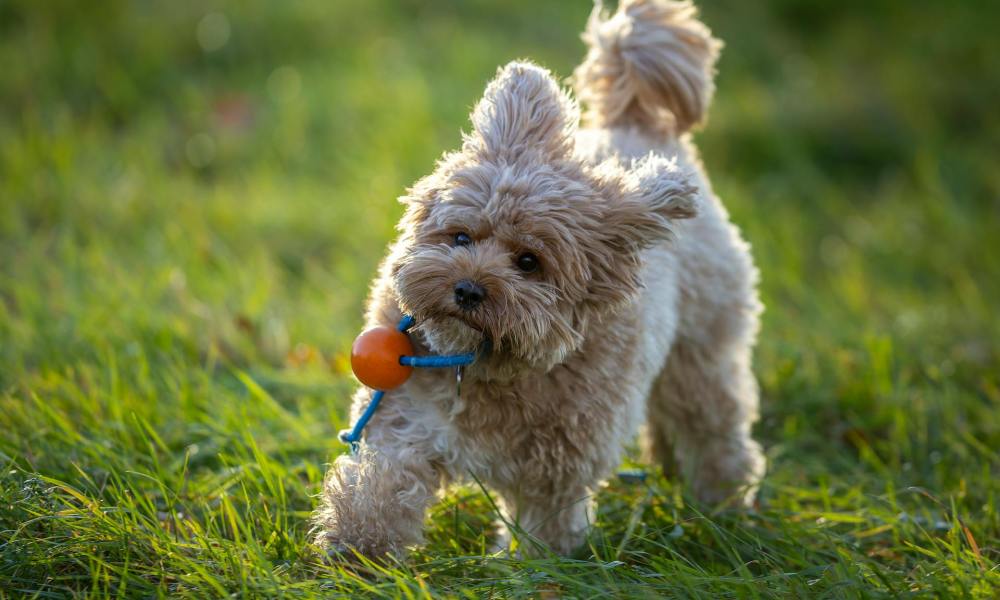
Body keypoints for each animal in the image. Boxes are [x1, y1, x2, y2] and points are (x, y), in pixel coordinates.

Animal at [314, 0, 764, 556]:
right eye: (461, 237)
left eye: (529, 262)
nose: (467, 289)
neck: (487, 367)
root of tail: (637, 125)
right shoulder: (407, 420)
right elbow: (382, 483)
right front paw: (358, 549)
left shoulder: (557, 469)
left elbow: (546, 529)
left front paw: (531, 565)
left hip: (702, 350)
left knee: (713, 426)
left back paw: (725, 503)